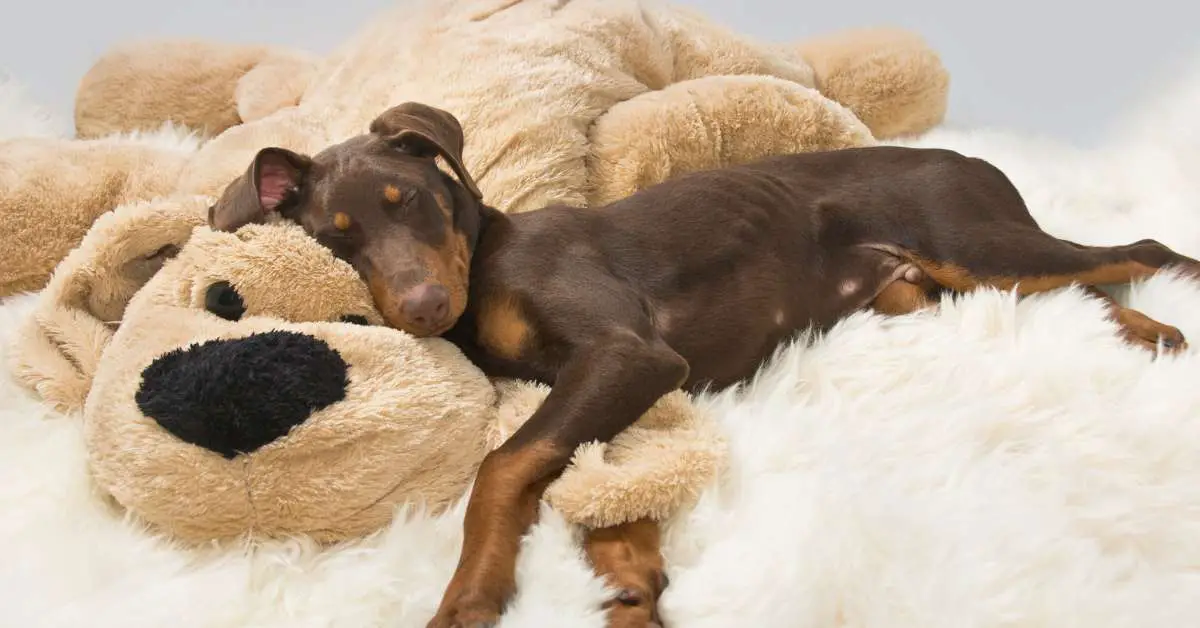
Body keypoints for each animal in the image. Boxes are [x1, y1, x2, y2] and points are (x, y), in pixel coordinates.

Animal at [211, 102, 1195, 624]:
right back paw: (1142, 336)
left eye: (407, 198)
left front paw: (471, 593)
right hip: (931, 288)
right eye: (338, 237)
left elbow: (503, 467)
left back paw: (1172, 316)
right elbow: (595, 476)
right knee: (1070, 294)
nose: (422, 310)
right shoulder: (617, 381)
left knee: (1133, 251)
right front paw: (629, 578)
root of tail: (971, 155)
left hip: (973, 240)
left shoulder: (627, 350)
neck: (484, 261)